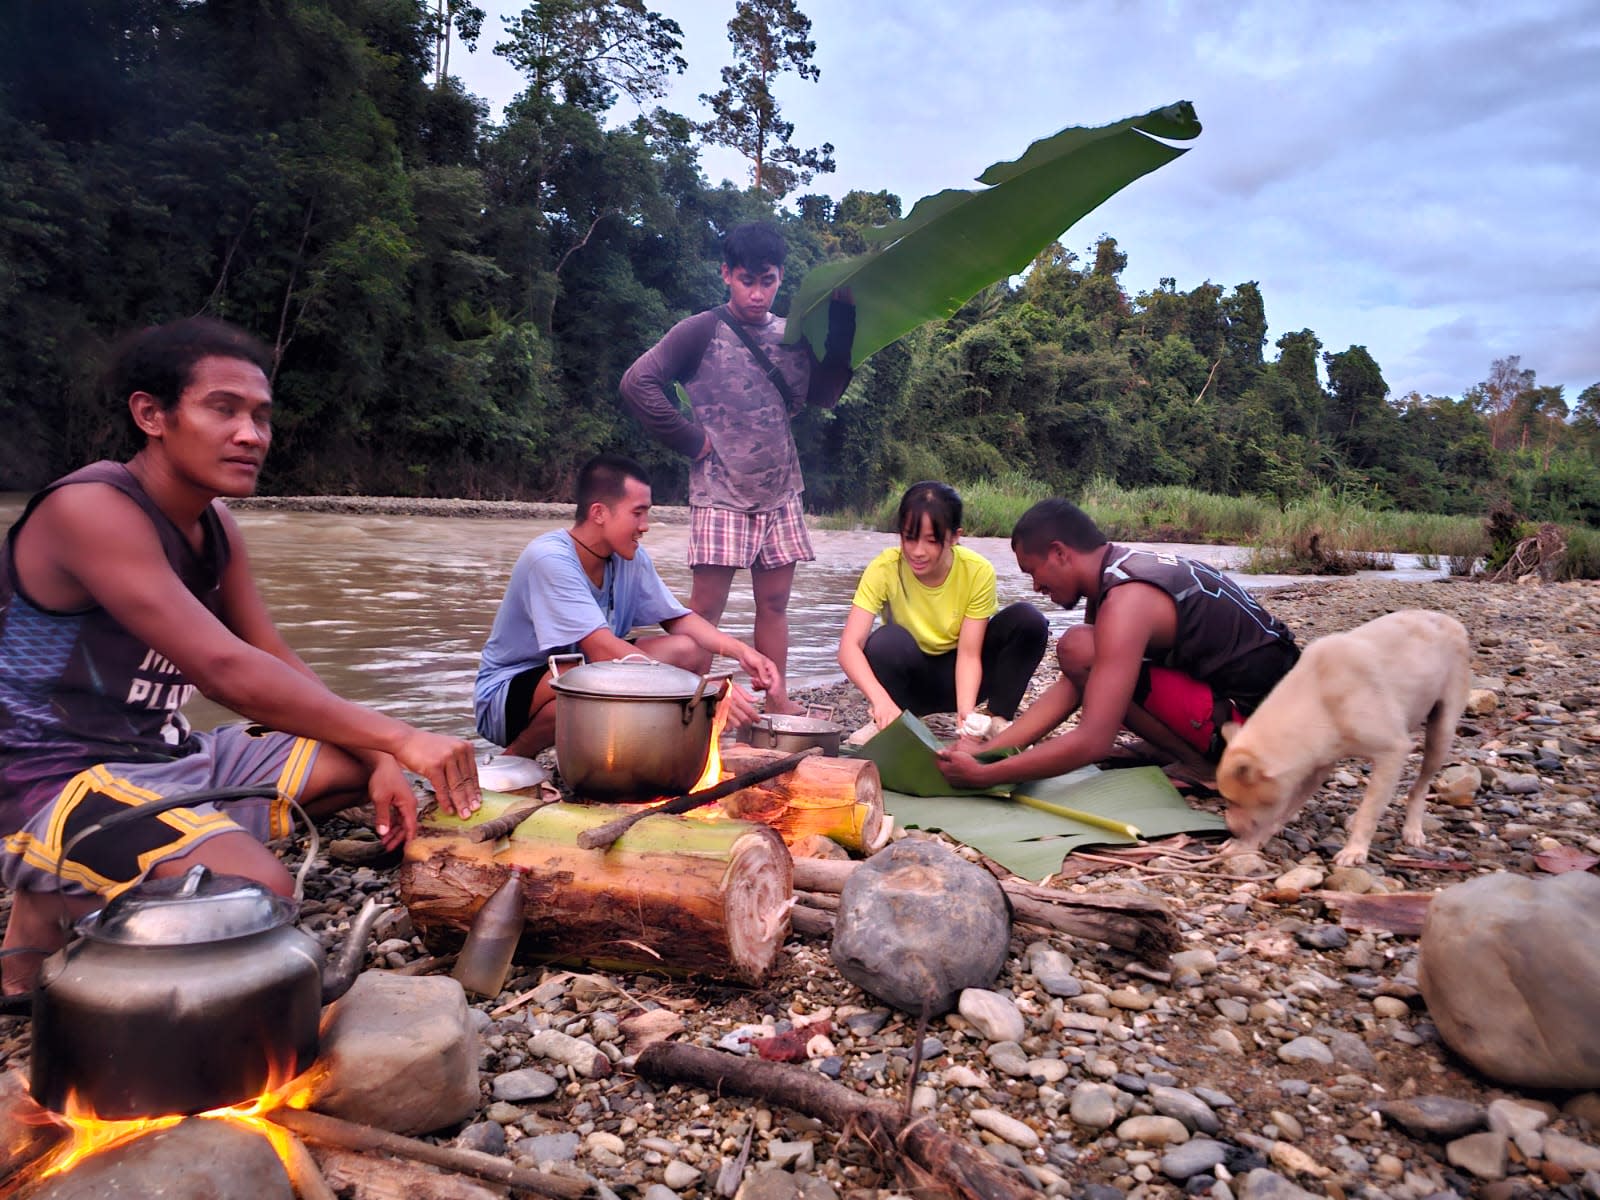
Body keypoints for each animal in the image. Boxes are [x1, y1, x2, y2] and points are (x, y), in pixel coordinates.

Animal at [1216, 611, 1465, 864]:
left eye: (1234, 801)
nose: (1230, 830)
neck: (1318, 698)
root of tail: (1450, 620)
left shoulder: (1393, 752)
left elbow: (1369, 811)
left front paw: (1355, 850)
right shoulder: (1315, 768)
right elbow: (1282, 811)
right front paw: (1248, 844)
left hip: (1441, 734)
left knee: (1419, 786)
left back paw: (1412, 830)